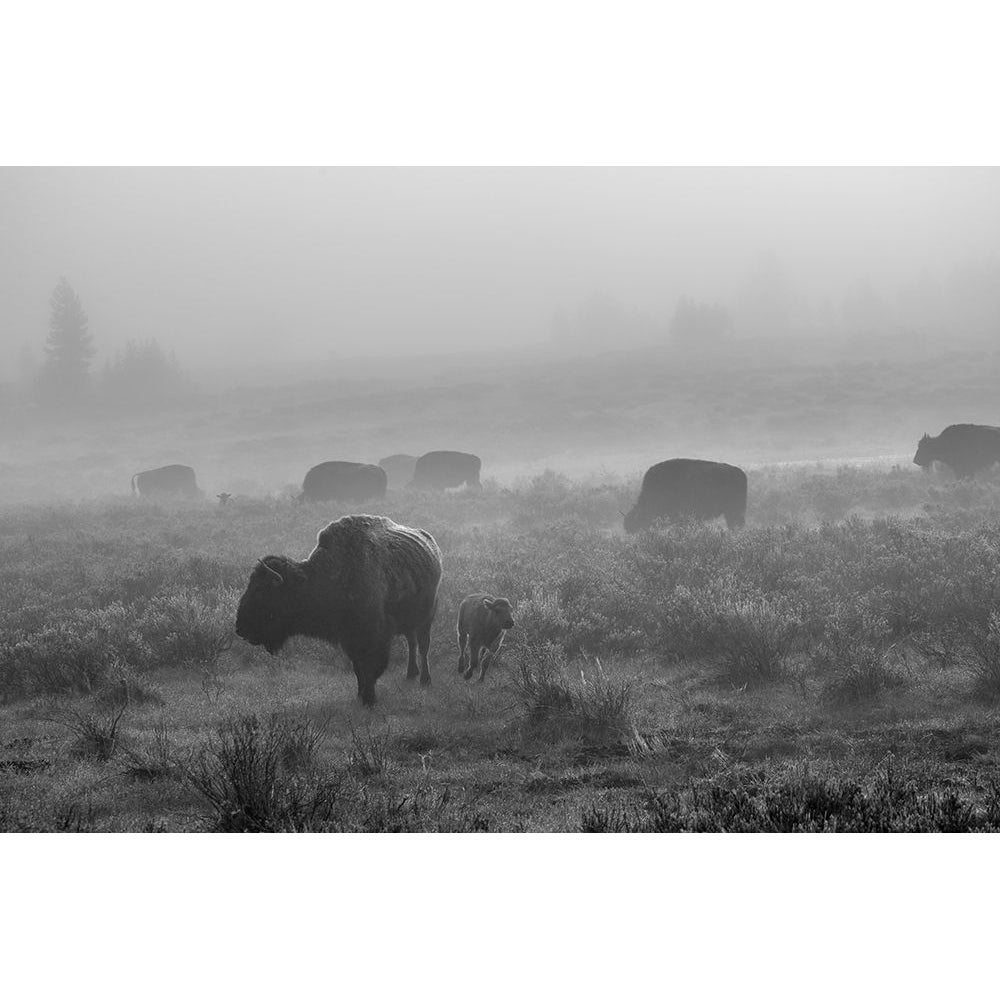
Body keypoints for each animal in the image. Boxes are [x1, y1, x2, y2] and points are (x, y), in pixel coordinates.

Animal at [234, 516, 442, 712]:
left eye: (261, 592)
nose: (240, 628)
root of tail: (433, 547)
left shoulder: (376, 638)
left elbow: (371, 669)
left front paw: (370, 699)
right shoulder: (349, 640)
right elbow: (358, 669)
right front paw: (360, 695)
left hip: (427, 618)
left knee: (423, 646)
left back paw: (425, 680)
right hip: (410, 622)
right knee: (412, 642)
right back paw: (411, 674)